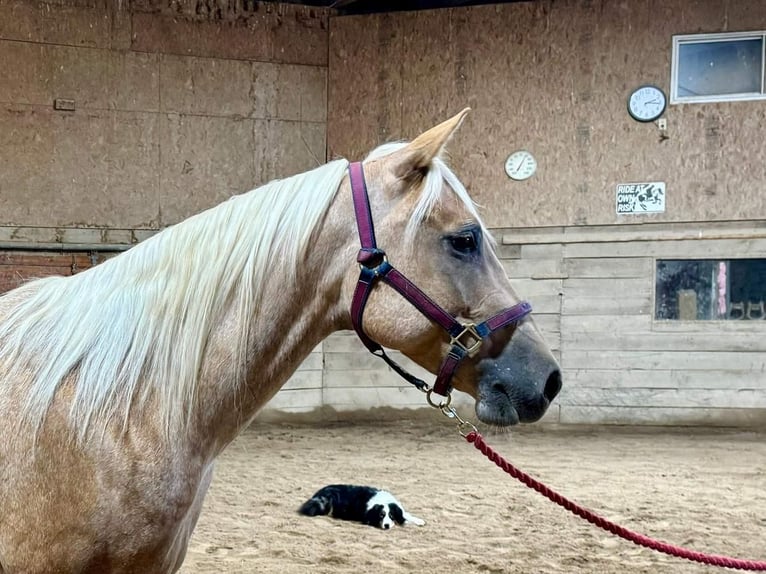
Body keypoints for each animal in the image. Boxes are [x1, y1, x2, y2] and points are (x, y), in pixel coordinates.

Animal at [298, 486, 426, 532]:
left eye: (391, 516)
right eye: (381, 515)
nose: (386, 526)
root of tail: (318, 493)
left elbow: (405, 515)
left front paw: (418, 521)